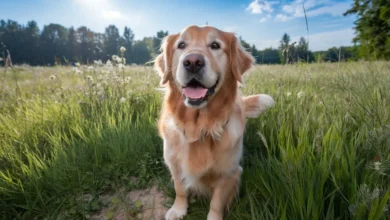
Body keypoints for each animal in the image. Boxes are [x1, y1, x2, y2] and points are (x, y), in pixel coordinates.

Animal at [154, 24, 276, 219]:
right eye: (181, 45)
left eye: (215, 45)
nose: (193, 62)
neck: (198, 127)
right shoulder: (174, 164)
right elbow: (180, 189)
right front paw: (178, 209)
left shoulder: (228, 174)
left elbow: (216, 203)